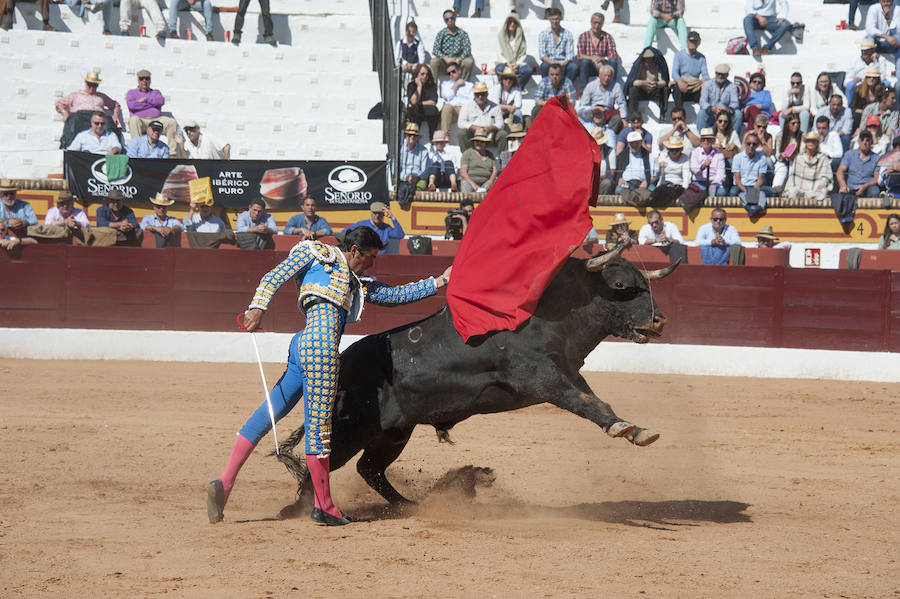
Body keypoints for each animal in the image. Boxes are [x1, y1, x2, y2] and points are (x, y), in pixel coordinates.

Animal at [274, 248, 676, 506]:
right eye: (620, 285)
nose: (658, 320)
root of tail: (340, 364)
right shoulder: (542, 378)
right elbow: (587, 403)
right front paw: (626, 429)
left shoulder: (566, 372)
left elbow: (593, 399)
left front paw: (637, 430)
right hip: (350, 428)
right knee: (324, 463)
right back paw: (302, 510)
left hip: (393, 433)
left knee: (369, 468)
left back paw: (409, 505)